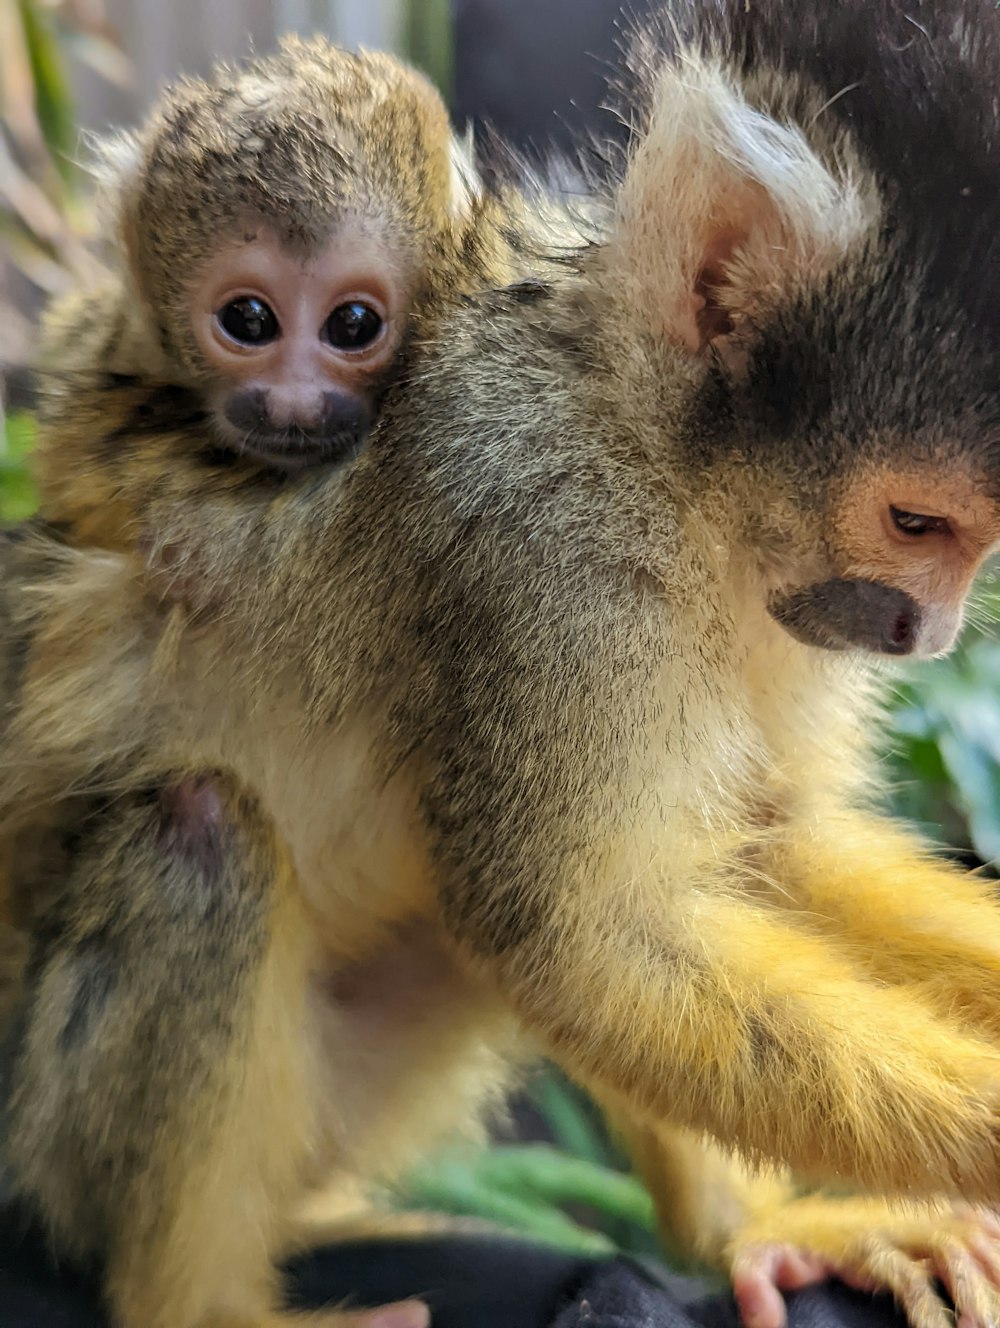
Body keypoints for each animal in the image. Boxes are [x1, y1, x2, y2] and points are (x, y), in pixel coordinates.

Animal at [9, 2, 1000, 1328]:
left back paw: (748, 1232)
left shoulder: (784, 603)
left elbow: (763, 848)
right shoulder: (543, 548)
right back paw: (204, 1305)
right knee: (200, 837)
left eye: (976, 537)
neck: (672, 478)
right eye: (914, 522)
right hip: (61, 1134)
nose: (924, 634)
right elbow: (579, 946)